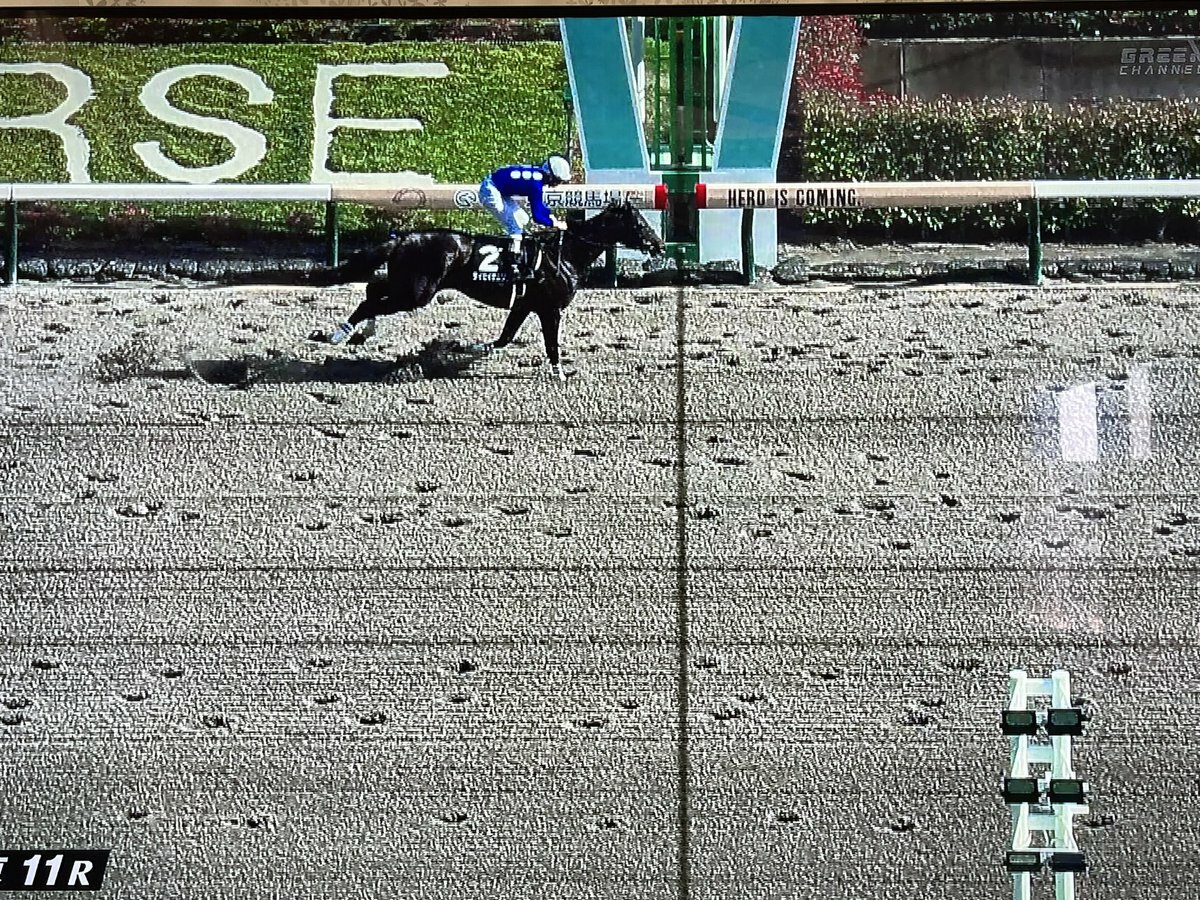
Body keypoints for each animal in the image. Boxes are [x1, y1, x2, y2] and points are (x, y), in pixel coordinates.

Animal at [229, 200, 665, 381]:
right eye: (641, 223)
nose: (659, 245)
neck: (566, 253)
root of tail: (404, 237)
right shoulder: (550, 309)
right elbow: (551, 345)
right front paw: (560, 374)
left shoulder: (524, 305)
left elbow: (504, 338)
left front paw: (462, 350)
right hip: (418, 291)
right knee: (374, 296)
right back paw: (342, 333)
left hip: (409, 285)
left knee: (373, 288)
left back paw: (356, 332)